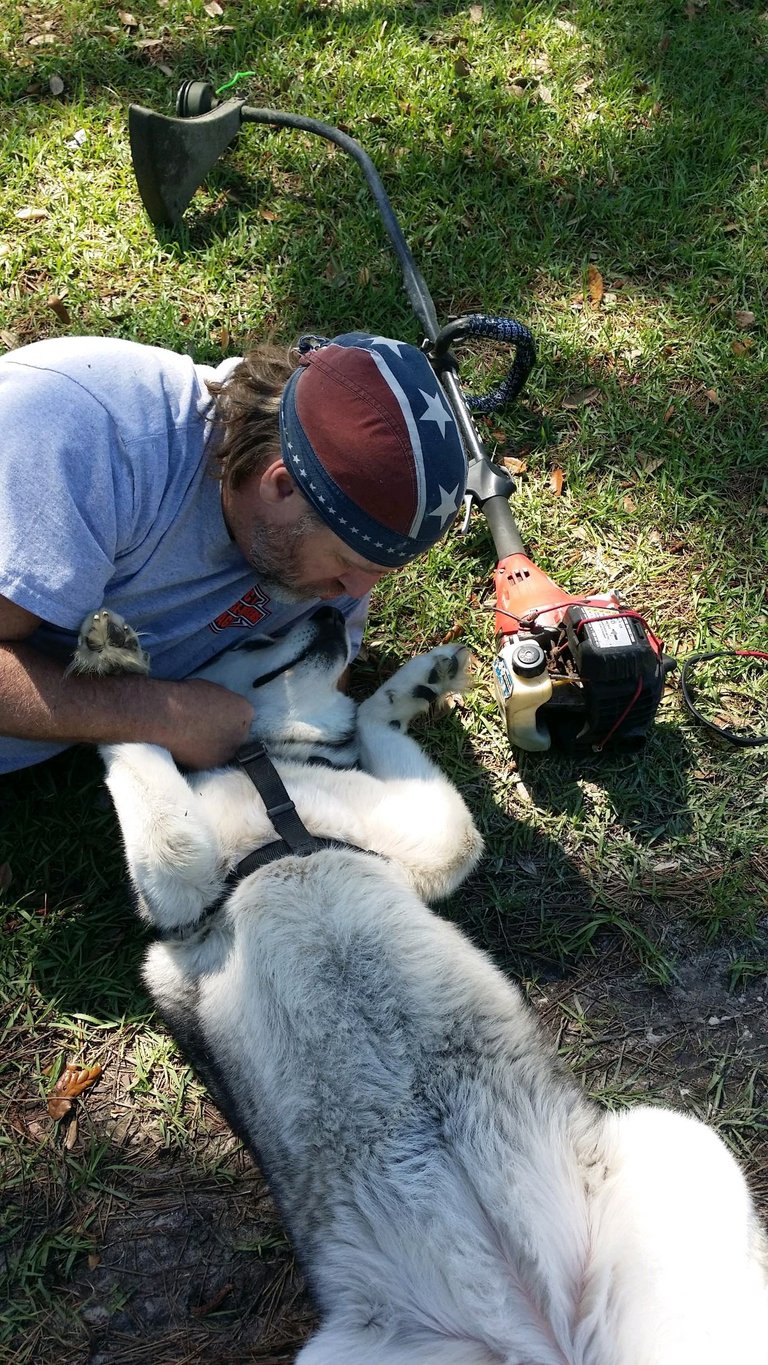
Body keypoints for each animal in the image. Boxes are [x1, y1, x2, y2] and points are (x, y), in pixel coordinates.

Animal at [76, 608, 768, 1365]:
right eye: (255, 637)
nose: (327, 612)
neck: (265, 770)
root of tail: (541, 1334)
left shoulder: (434, 841)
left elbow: (371, 727)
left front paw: (411, 688)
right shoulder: (184, 892)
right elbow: (163, 803)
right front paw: (114, 665)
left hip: (683, 1151)